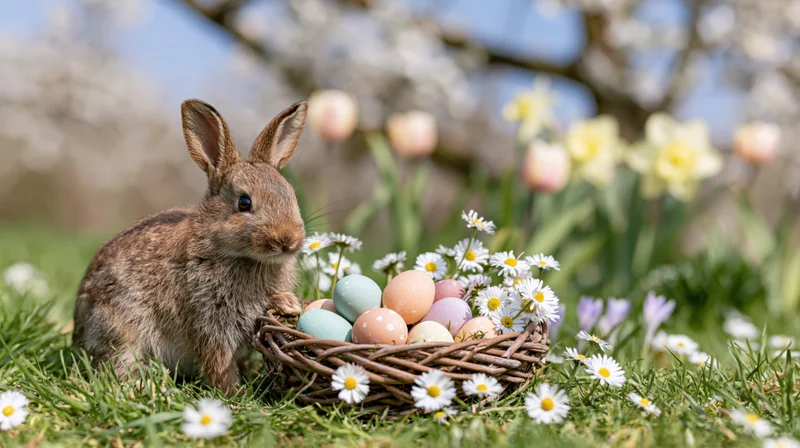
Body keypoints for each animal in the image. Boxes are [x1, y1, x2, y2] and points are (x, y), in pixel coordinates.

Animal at [73, 99, 308, 394]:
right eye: (244, 203)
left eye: (292, 196)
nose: (288, 240)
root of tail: (77, 335)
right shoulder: (209, 319)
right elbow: (217, 361)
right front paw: (236, 393)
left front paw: (288, 303)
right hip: (120, 331)